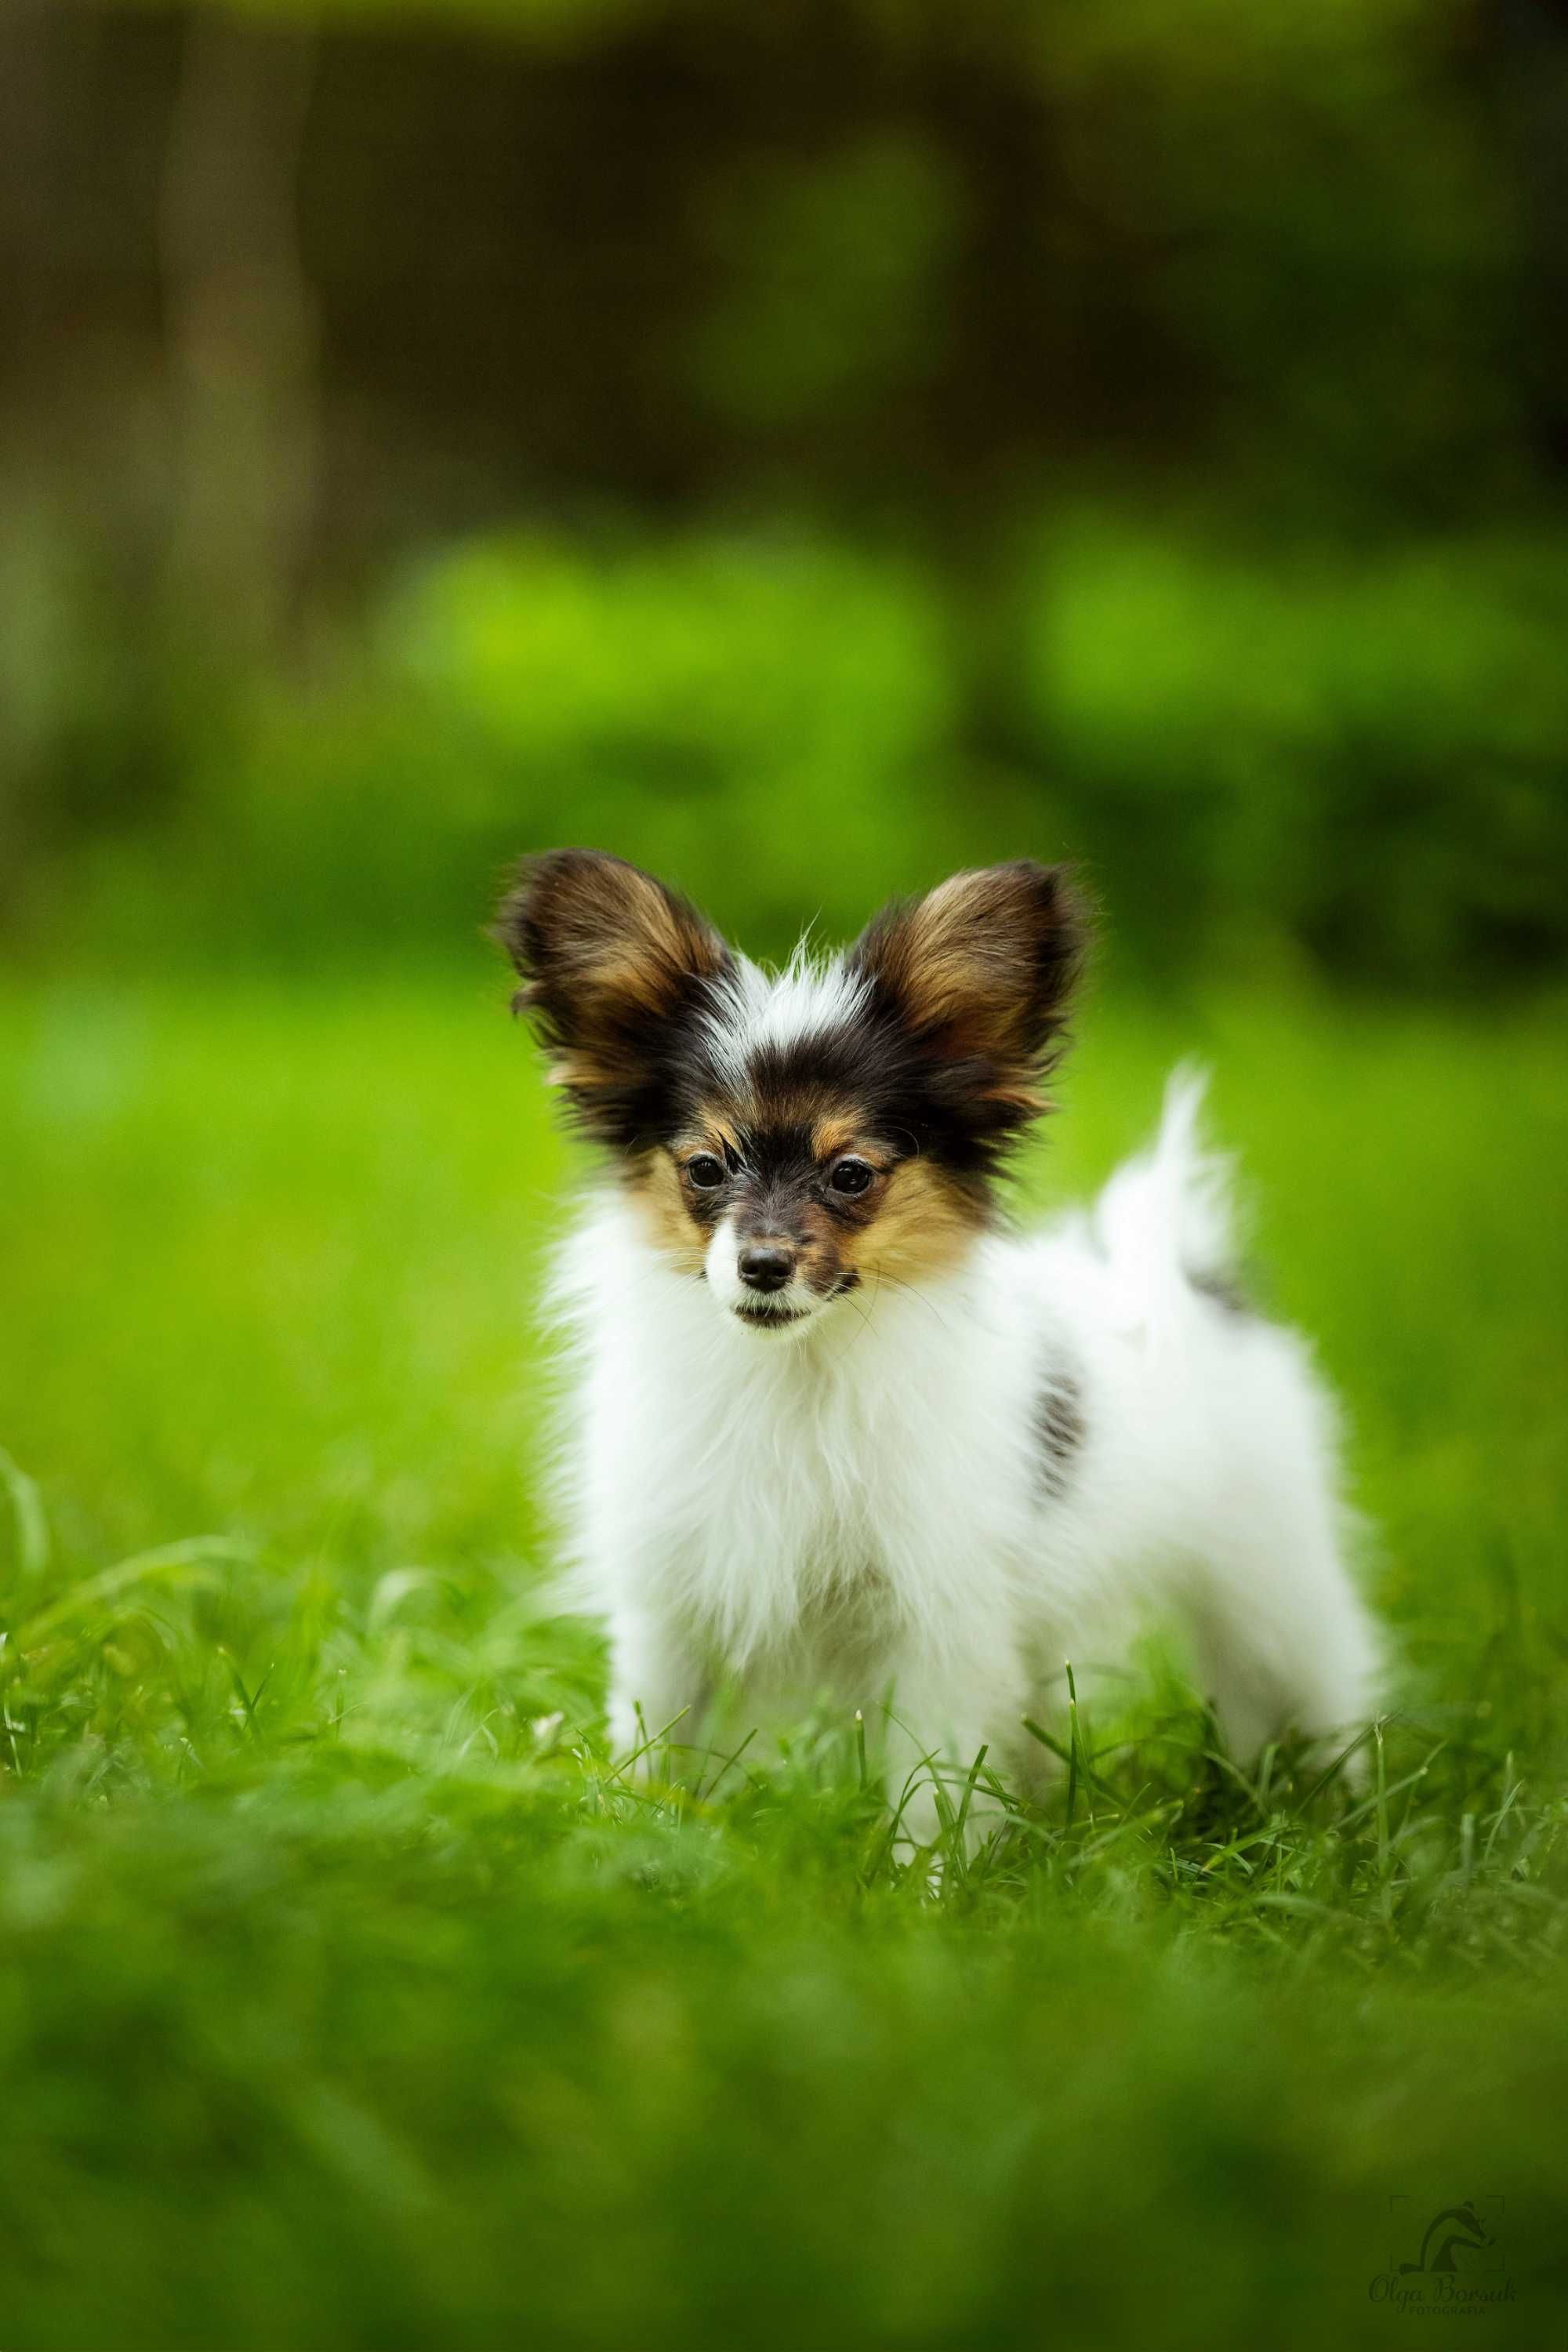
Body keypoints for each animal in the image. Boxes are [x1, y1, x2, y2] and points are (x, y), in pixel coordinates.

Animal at [495, 847, 1382, 1835]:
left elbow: (933, 1790)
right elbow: (657, 1748)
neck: (798, 1373)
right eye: (705, 1168)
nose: (762, 1265)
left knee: (1311, 1685)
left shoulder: (938, 1624)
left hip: (1269, 1576)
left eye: (850, 1176)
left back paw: (1340, 1813)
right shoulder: (671, 1609)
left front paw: (929, 1877)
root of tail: (1184, 1271)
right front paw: (638, 1839)